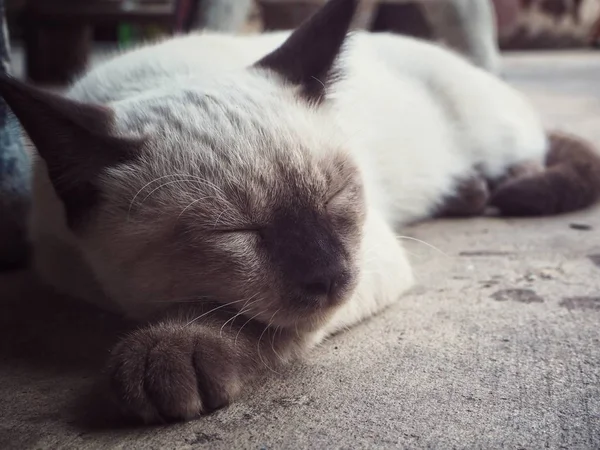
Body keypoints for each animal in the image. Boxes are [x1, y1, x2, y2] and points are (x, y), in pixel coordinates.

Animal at [1, 0, 600, 424]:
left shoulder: (370, 257)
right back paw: (468, 194)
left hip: (496, 137)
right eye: (237, 230)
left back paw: (495, 190)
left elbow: (244, 321)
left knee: (535, 154)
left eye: (335, 198)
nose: (330, 276)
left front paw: (167, 353)